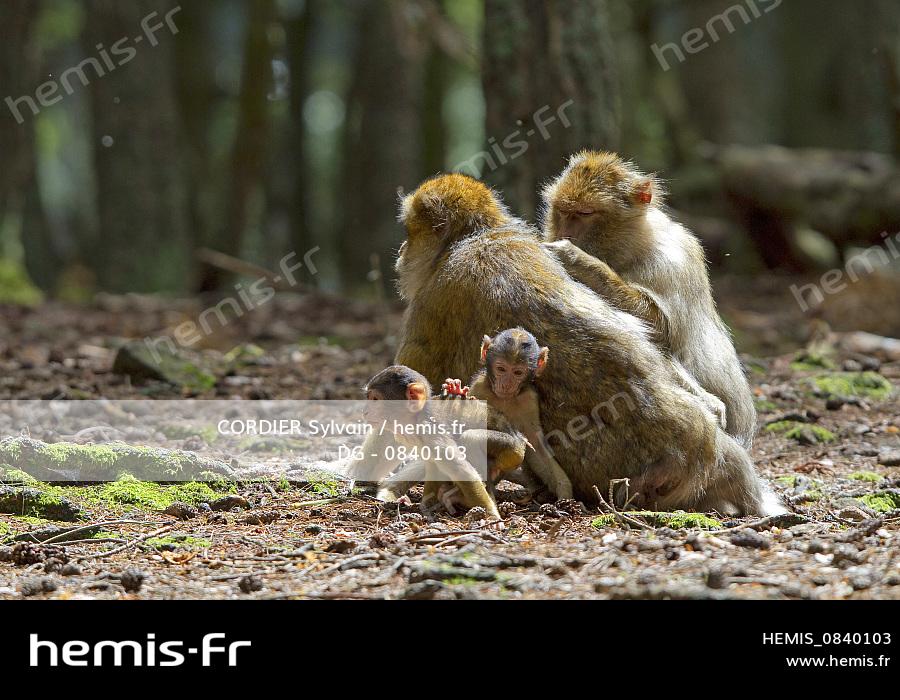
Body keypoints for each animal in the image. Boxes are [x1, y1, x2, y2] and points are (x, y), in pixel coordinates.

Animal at [444, 326, 576, 498]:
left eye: (517, 373)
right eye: (501, 369)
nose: (506, 384)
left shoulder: (529, 399)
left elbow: (536, 443)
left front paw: (564, 490)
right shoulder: (479, 387)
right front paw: (455, 391)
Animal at [544, 152, 756, 448]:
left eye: (585, 213)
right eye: (562, 212)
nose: (566, 235)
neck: (631, 249)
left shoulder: (671, 262)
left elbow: (662, 330)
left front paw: (580, 260)